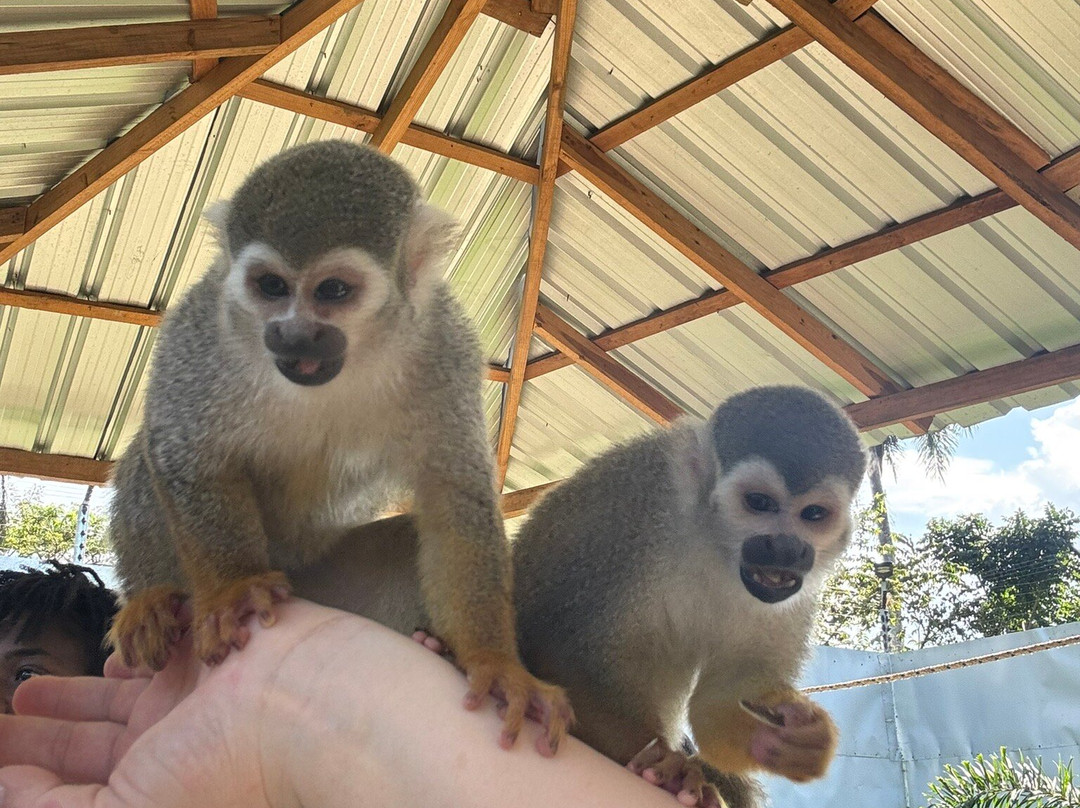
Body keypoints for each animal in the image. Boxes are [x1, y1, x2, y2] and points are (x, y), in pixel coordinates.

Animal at [105, 140, 571, 755]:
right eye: (271, 287)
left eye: (333, 291)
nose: (293, 333)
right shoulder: (203, 323)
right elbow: (187, 451)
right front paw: (234, 589)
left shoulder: (442, 344)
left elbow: (455, 499)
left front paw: (496, 664)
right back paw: (151, 598)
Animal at [288, 385, 867, 808]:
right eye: (759, 503)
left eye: (813, 515)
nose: (786, 549)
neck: (714, 543)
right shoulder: (629, 503)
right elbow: (559, 644)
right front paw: (673, 768)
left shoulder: (794, 596)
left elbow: (720, 702)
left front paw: (793, 744)